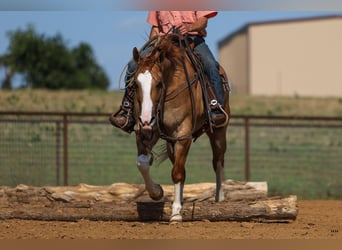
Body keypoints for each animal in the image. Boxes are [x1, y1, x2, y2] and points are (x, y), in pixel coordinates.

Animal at [131, 33, 230, 223]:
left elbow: (177, 173)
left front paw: (176, 213)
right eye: (135, 84)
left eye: (159, 84)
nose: (146, 119)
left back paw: (219, 199)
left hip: (219, 132)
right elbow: (142, 163)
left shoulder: (183, 134)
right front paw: (157, 192)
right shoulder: (146, 132)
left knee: (218, 161)